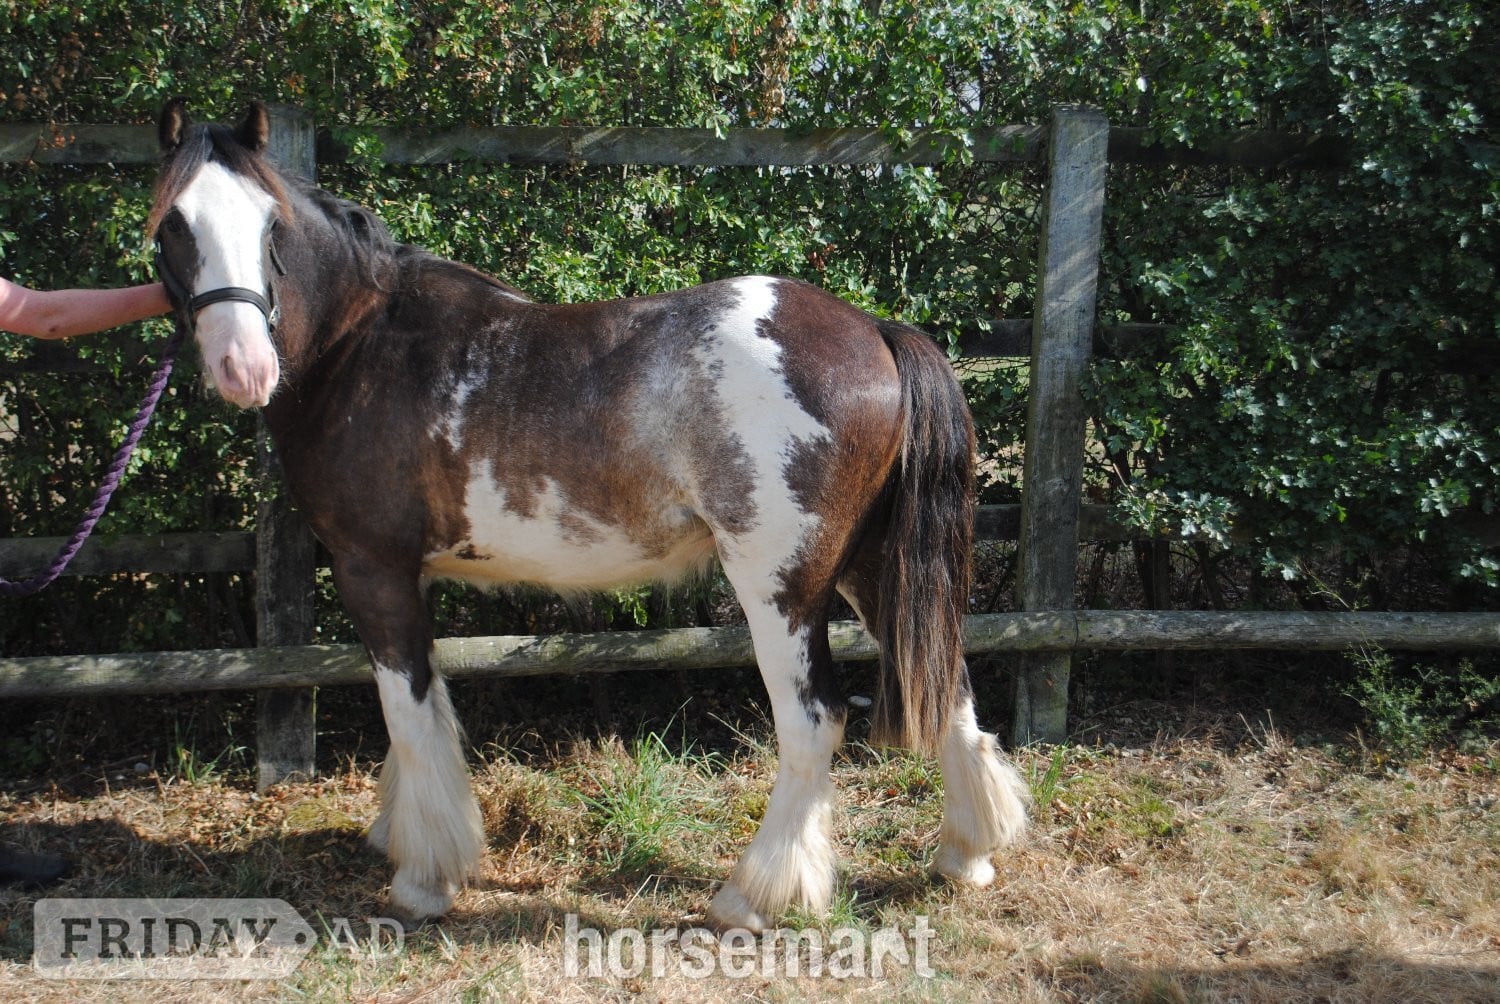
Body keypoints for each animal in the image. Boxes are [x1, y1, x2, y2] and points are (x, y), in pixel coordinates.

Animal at [149, 100, 1028, 931]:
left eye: (270, 224)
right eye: (173, 223)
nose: (242, 366)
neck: (363, 345)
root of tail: (874, 329)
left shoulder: (375, 571)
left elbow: (409, 712)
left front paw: (424, 879)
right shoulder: (412, 579)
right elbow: (424, 713)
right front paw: (400, 834)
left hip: (782, 588)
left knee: (814, 724)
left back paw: (752, 897)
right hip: (873, 568)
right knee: (948, 685)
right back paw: (967, 854)